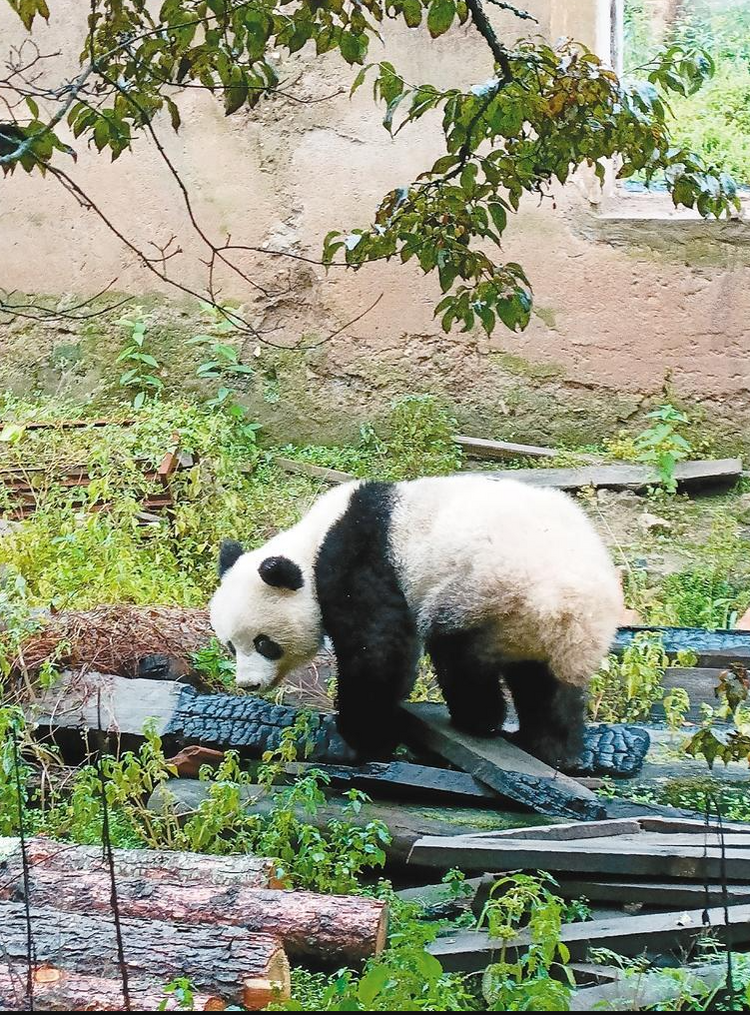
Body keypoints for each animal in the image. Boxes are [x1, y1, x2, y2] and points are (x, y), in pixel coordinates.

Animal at [208, 475, 625, 767]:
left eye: (264, 642)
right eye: (230, 646)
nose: (248, 684)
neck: (311, 542)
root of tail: (568, 606)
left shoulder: (358, 559)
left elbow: (379, 647)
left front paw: (360, 740)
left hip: (487, 594)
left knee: (462, 657)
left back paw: (478, 720)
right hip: (543, 630)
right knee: (547, 685)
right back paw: (554, 747)